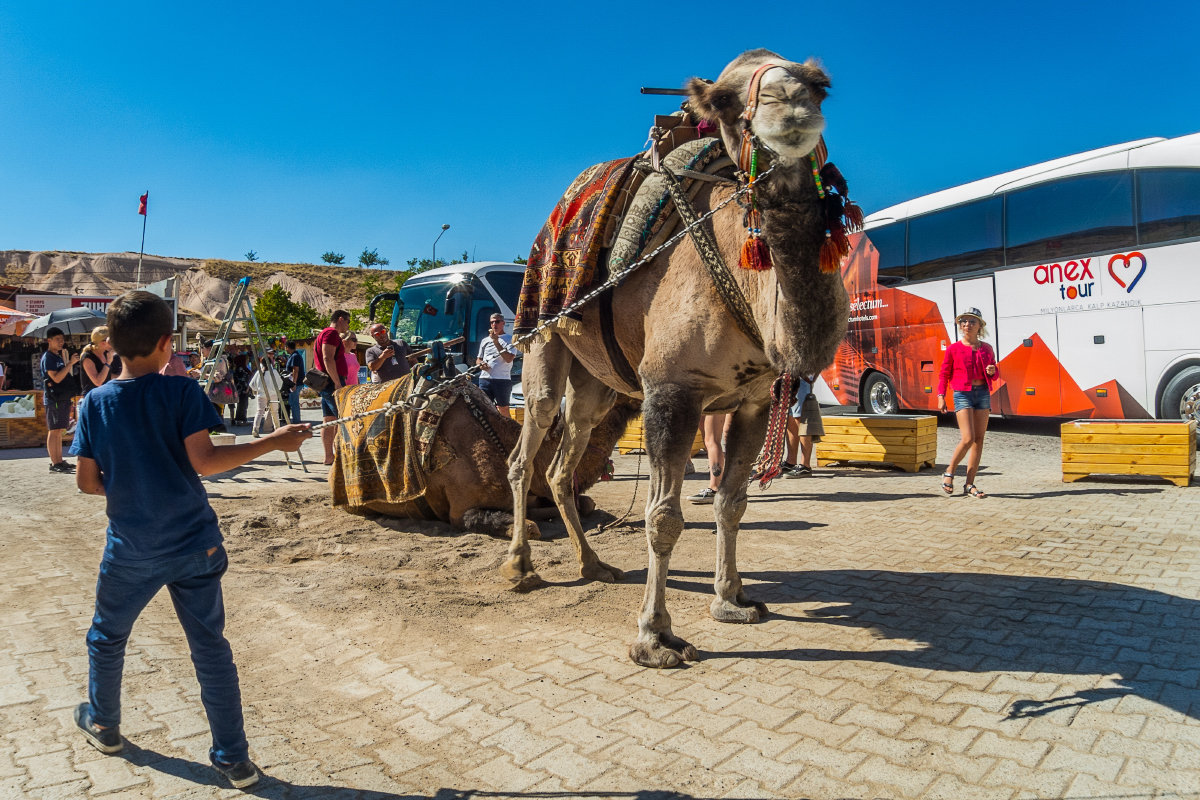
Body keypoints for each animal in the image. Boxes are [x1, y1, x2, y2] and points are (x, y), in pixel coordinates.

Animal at [506, 47, 854, 666]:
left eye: (820, 86)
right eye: (725, 101)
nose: (789, 104)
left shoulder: (753, 400)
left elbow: (732, 502)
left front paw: (732, 599)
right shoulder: (673, 391)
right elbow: (664, 518)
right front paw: (655, 637)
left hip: (598, 387)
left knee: (563, 461)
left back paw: (593, 564)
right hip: (542, 341)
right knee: (529, 450)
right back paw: (521, 567)